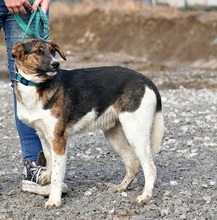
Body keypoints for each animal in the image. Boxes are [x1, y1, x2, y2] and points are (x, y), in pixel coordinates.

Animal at [11, 38, 164, 209]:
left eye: (53, 51)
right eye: (38, 51)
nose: (56, 64)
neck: (35, 85)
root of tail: (146, 80)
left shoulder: (59, 139)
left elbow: (57, 175)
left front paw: (54, 200)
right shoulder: (43, 136)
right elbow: (49, 159)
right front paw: (46, 177)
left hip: (135, 133)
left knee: (150, 168)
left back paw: (145, 196)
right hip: (114, 134)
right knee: (132, 164)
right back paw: (121, 187)